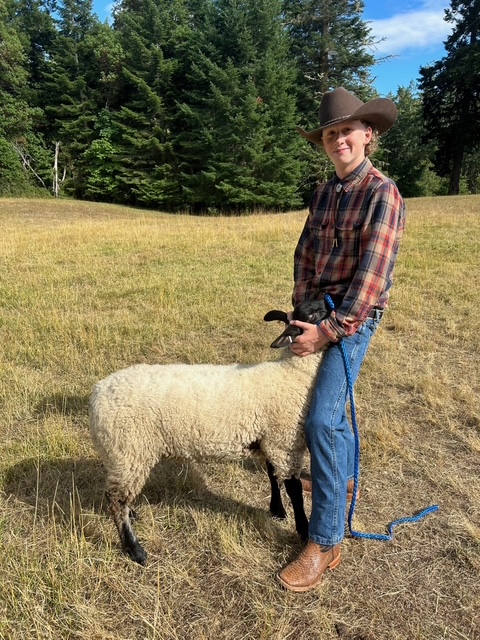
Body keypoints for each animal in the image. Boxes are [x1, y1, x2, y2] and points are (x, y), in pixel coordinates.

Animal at [89, 299, 330, 565]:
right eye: (313, 314)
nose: (334, 305)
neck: (292, 373)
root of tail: (98, 394)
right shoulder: (284, 442)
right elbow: (294, 489)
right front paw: (303, 531)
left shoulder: (271, 440)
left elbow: (272, 476)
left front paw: (277, 510)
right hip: (130, 449)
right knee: (116, 500)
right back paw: (135, 550)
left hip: (121, 454)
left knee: (116, 494)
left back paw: (132, 515)